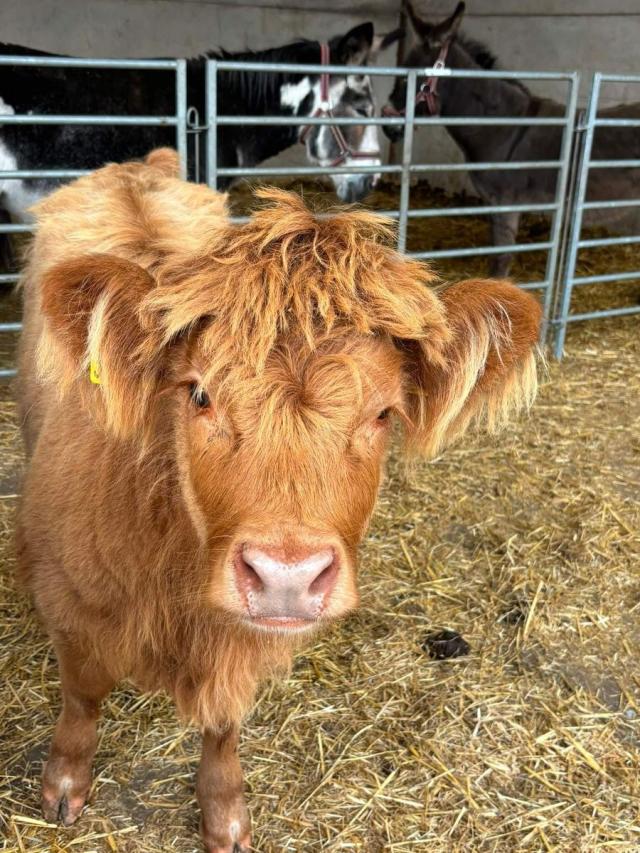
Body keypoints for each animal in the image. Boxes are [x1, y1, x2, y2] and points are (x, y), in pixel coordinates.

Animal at [16, 148, 541, 852]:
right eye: (200, 394)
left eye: (382, 413)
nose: (285, 576)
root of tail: (136, 165)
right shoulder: (69, 603)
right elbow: (82, 696)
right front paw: (64, 785)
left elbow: (223, 724)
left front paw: (225, 815)